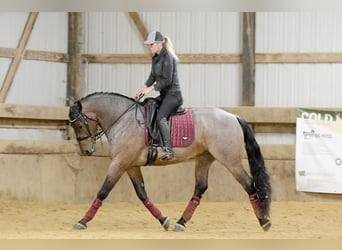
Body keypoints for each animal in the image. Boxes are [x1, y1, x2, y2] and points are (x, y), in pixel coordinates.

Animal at [69, 92, 272, 232]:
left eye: (78, 125)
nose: (86, 151)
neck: (123, 120)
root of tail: (234, 117)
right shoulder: (131, 166)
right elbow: (142, 194)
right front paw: (163, 220)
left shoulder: (119, 163)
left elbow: (103, 192)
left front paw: (82, 221)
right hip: (204, 159)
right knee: (200, 188)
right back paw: (181, 223)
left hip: (230, 160)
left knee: (249, 184)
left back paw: (264, 221)